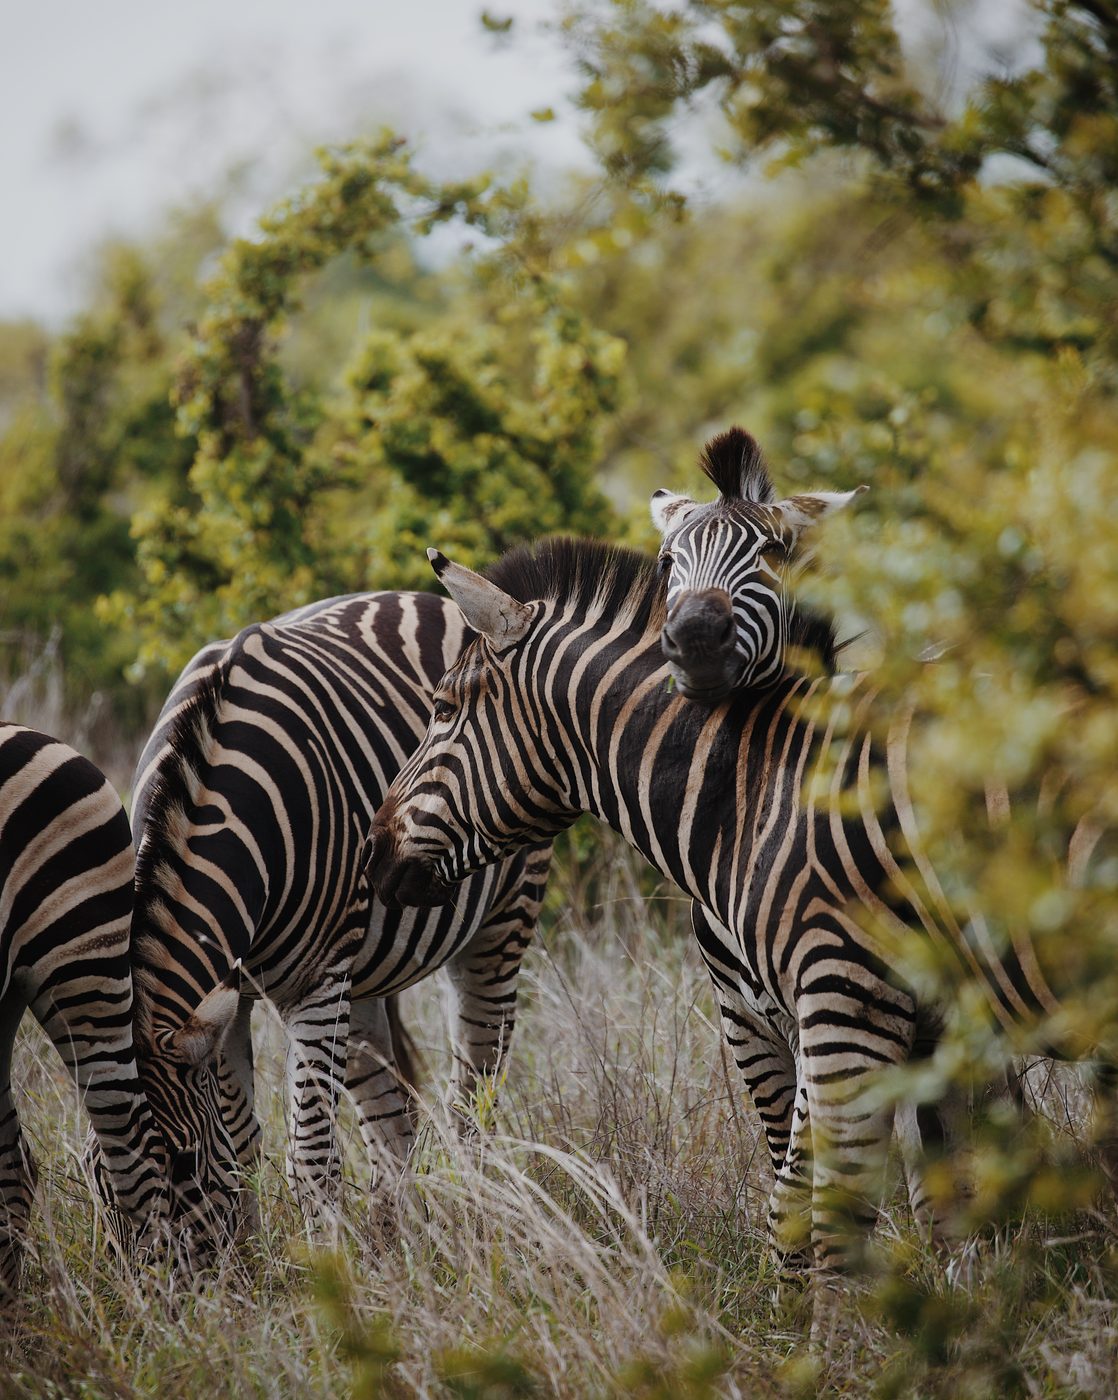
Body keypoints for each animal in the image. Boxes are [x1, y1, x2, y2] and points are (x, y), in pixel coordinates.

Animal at [124, 591, 551, 1240]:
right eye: (99, 1174)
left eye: (181, 1162)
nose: (158, 1276)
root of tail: (429, 598)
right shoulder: (226, 998)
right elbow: (240, 1147)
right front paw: (260, 1259)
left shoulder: (314, 980)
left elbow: (310, 1158)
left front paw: (326, 1258)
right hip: (365, 971)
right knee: (390, 1115)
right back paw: (396, 1240)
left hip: (502, 917)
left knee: (476, 1080)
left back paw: (471, 1222)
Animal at [366, 536, 1118, 1297]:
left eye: (442, 709)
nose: (372, 857)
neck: (754, 790)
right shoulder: (829, 1023)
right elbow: (876, 1202)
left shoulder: (845, 1005)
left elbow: (828, 1213)